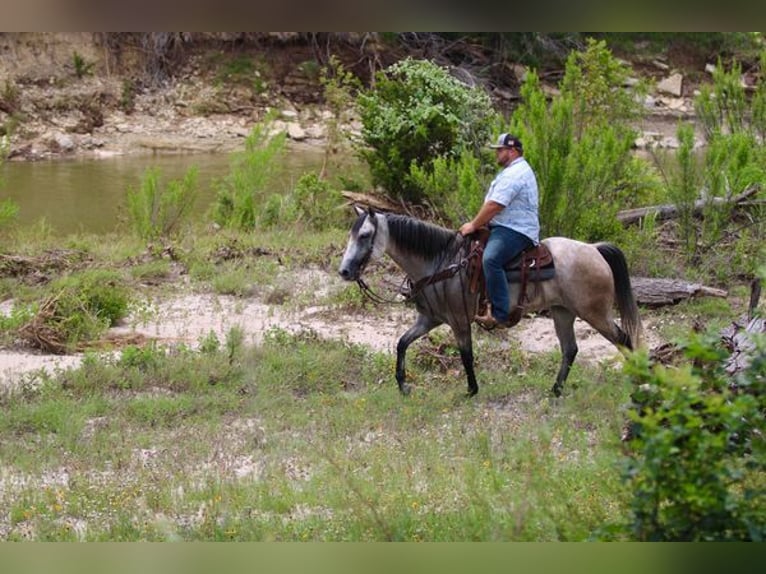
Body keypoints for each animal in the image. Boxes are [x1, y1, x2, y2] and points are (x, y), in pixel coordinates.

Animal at [338, 206, 642, 397]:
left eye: (364, 235)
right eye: (350, 234)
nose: (344, 271)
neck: (442, 263)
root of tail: (594, 249)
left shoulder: (459, 320)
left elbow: (466, 354)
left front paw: (471, 390)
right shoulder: (429, 319)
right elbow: (402, 343)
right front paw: (403, 386)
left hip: (595, 313)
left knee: (624, 340)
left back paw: (638, 385)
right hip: (563, 312)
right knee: (570, 350)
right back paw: (555, 391)